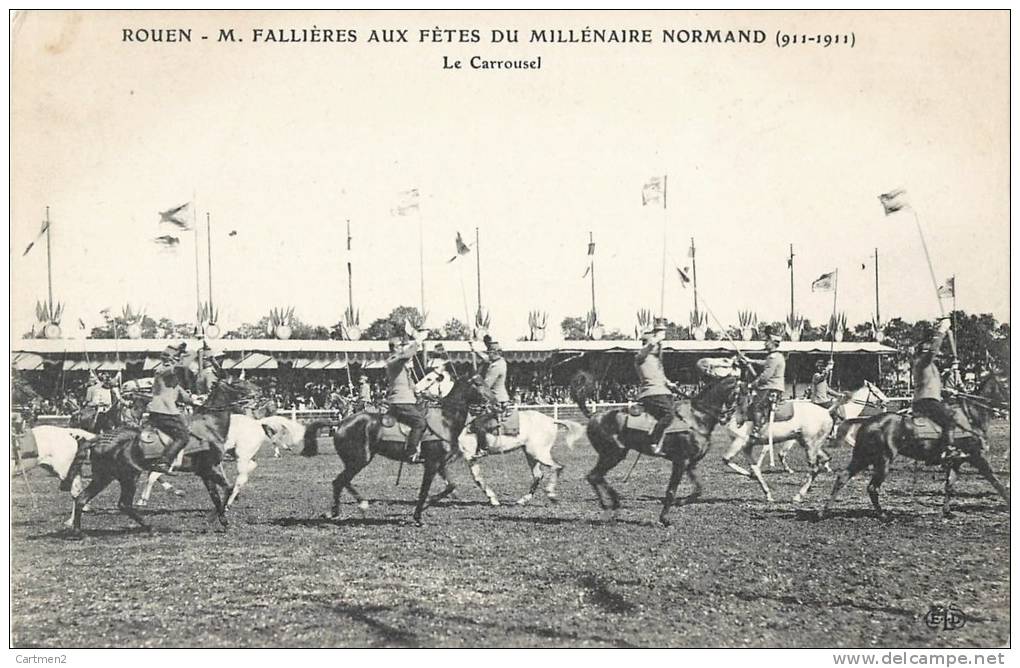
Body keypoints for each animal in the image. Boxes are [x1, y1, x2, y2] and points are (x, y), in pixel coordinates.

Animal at [65, 375, 261, 538]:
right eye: (238, 382)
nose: (258, 393)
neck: (209, 425)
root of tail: (98, 439)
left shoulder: (205, 472)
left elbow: (217, 495)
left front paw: (221, 520)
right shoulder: (209, 468)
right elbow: (228, 489)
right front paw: (215, 519)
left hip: (105, 476)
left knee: (83, 498)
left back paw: (78, 531)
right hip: (128, 476)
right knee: (123, 504)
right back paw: (150, 527)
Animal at [297, 373, 493, 526]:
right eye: (478, 384)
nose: (493, 400)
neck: (445, 419)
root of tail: (341, 423)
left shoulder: (439, 464)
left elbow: (451, 486)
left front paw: (426, 506)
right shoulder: (431, 464)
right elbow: (424, 490)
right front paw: (419, 515)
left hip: (356, 461)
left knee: (340, 482)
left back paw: (341, 510)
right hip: (359, 460)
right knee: (340, 481)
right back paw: (355, 506)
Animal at [459, 412, 587, 507]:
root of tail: (551, 420)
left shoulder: (469, 457)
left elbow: (477, 479)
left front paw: (493, 500)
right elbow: (477, 479)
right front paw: (493, 499)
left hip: (537, 453)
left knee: (557, 467)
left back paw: (551, 495)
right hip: (530, 455)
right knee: (538, 475)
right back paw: (523, 500)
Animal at [571, 371, 738, 526]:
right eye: (740, 391)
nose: (728, 418)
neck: (696, 417)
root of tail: (594, 415)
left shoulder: (691, 463)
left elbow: (698, 489)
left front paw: (681, 502)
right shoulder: (680, 461)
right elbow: (671, 491)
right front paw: (664, 518)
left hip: (612, 455)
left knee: (595, 477)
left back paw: (613, 505)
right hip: (613, 454)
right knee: (594, 476)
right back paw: (610, 505)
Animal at [820, 373, 1011, 520]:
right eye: (1006, 384)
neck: (970, 415)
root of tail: (868, 422)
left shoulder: (957, 461)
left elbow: (949, 485)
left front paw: (947, 512)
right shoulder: (977, 457)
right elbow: (996, 482)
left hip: (863, 457)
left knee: (842, 478)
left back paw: (824, 512)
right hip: (883, 461)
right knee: (872, 487)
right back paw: (883, 515)